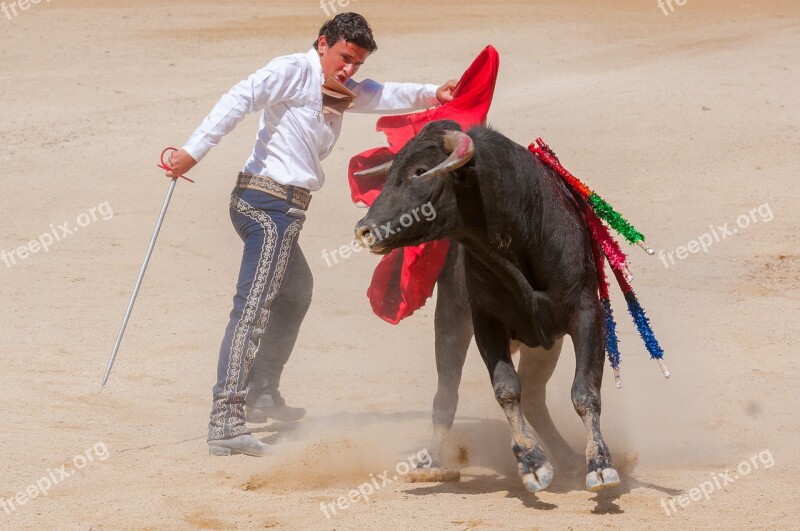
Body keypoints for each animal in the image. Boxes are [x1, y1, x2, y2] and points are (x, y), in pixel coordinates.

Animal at [354, 120, 620, 494]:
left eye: (420, 171)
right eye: (390, 171)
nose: (363, 230)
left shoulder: (586, 314)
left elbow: (585, 391)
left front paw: (600, 466)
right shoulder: (485, 321)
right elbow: (506, 388)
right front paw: (532, 463)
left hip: (544, 345)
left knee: (535, 397)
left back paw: (568, 459)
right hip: (451, 320)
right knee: (447, 394)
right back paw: (432, 464)